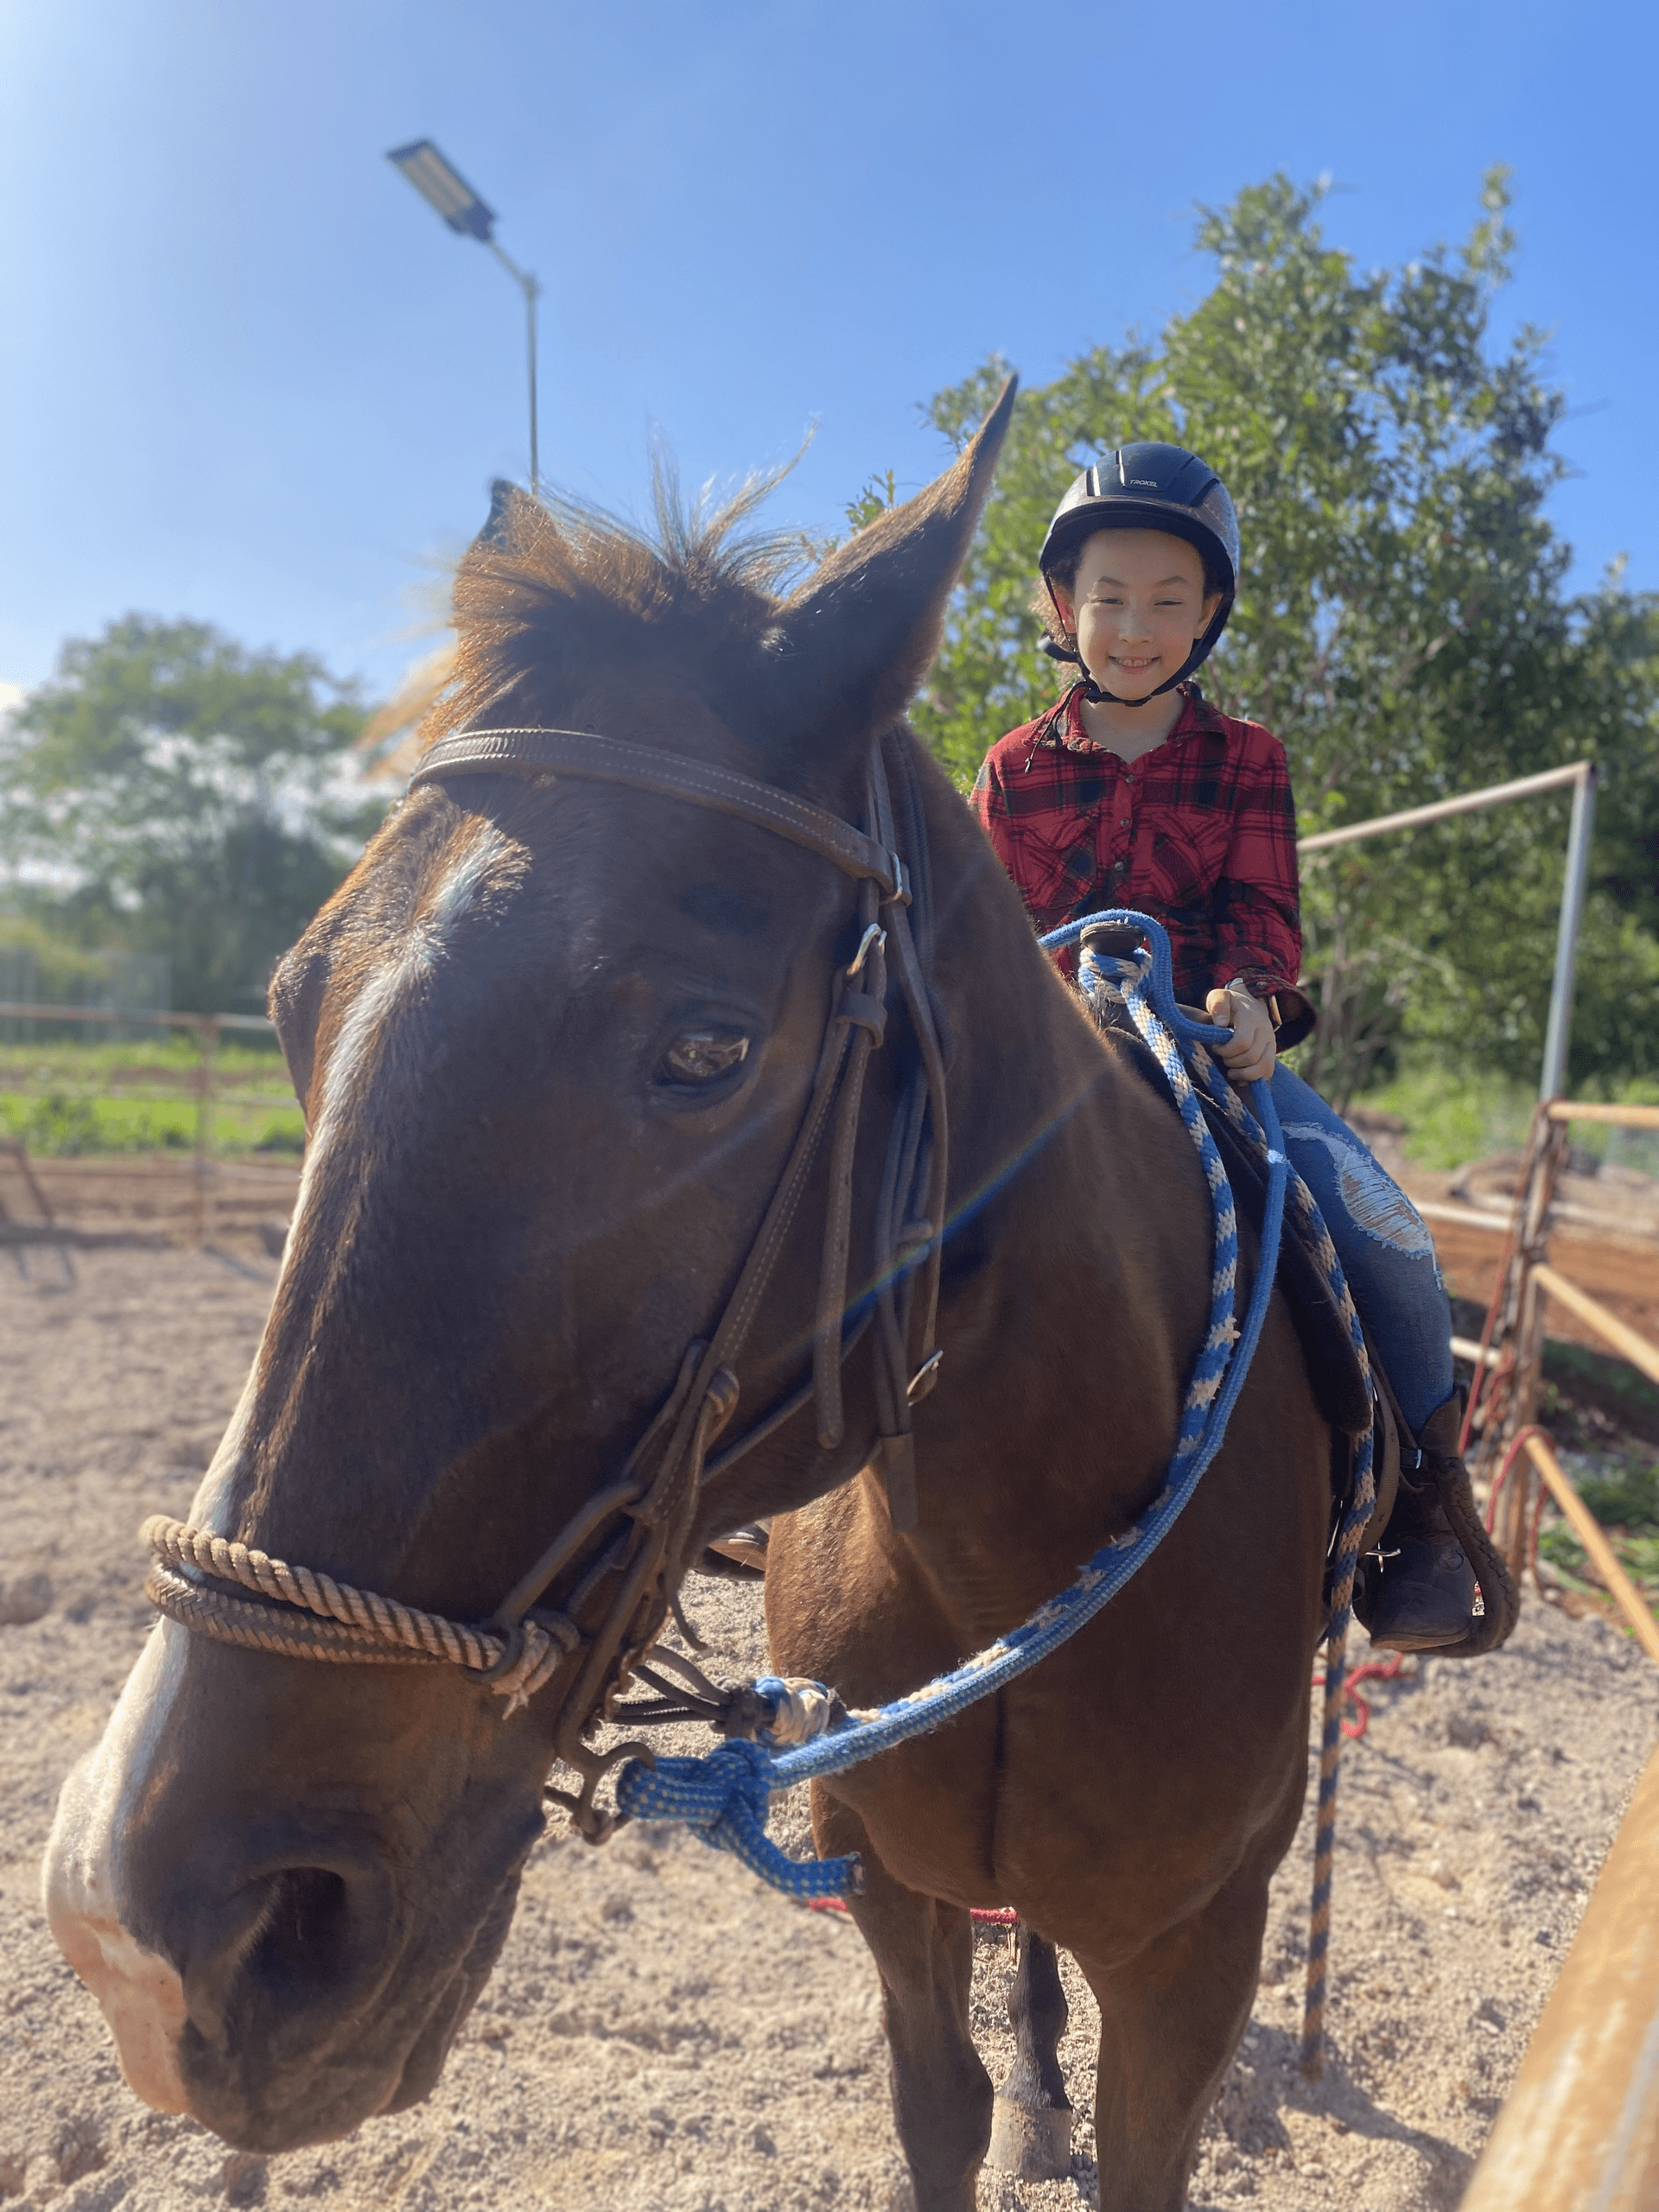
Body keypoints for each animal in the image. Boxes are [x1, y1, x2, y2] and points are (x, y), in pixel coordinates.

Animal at [43, 381, 1336, 2212]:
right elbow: (940, 2111)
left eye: (709, 1048)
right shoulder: (893, 1888)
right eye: (296, 1009)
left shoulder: (1196, 1959)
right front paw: (1006, 2104)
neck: (1025, 1529)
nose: (146, 1940)